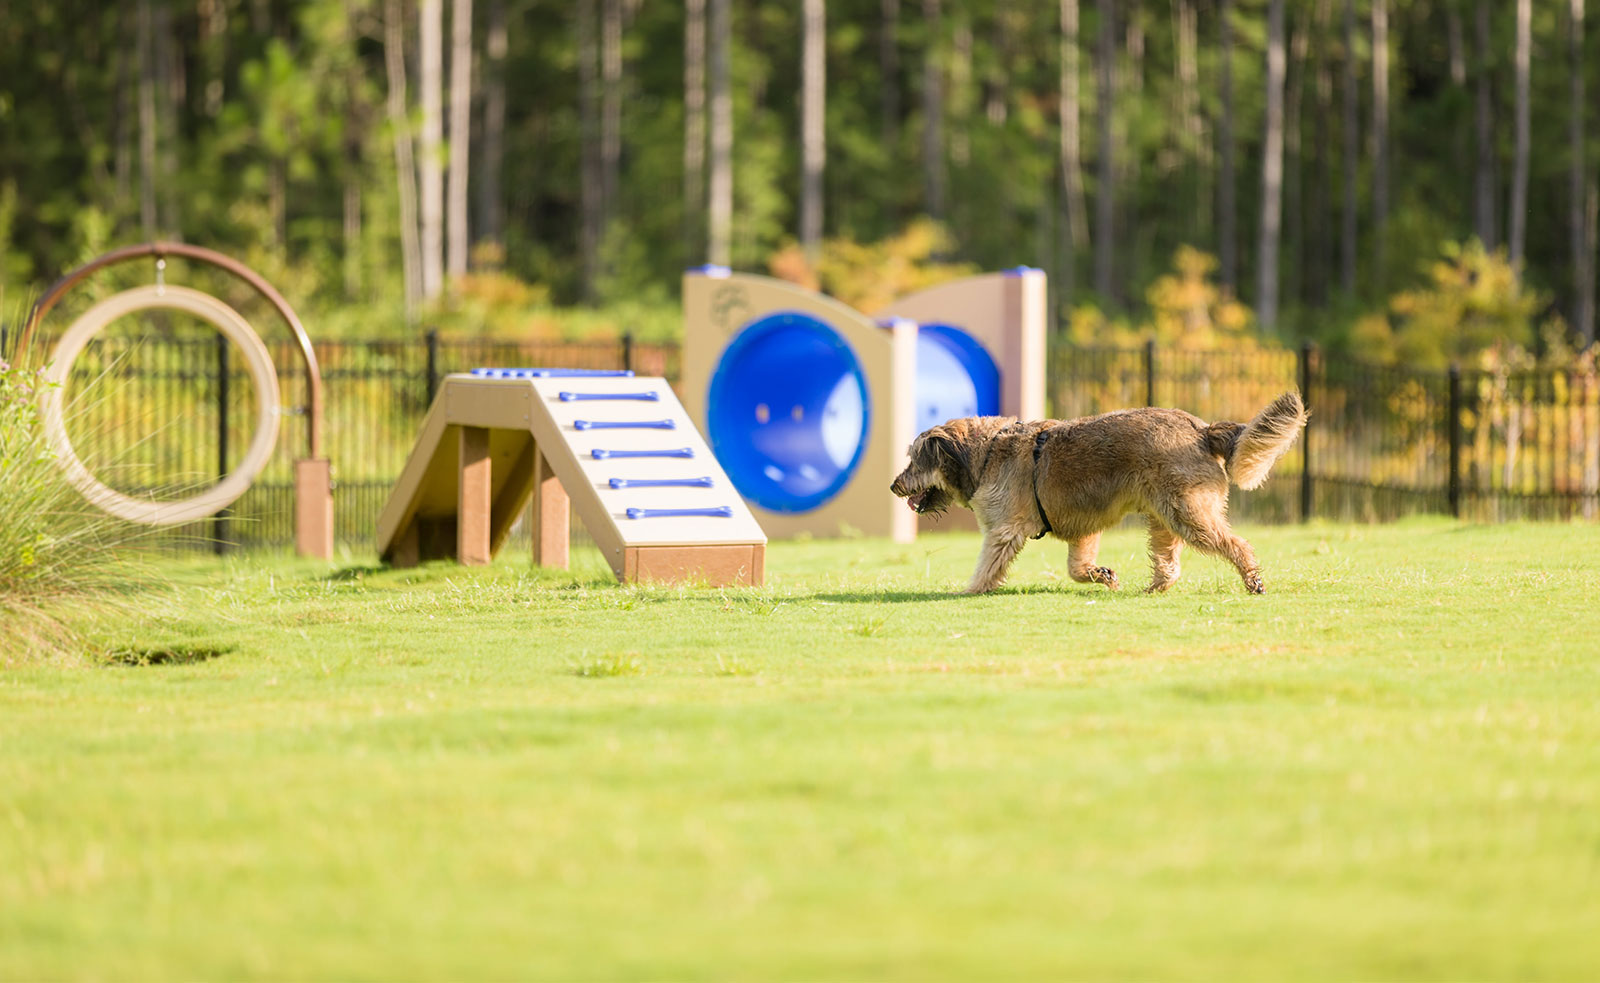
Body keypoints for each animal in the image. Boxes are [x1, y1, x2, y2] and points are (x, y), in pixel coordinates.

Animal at [889, 390, 1312, 592]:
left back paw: (1252, 579)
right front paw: (1102, 575)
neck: (987, 450)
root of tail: (1202, 429)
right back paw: (1155, 587)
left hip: (1190, 514)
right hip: (1164, 517)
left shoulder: (1003, 531)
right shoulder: (1084, 528)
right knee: (1169, 561)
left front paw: (971, 590)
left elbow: (987, 566)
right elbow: (1076, 567)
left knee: (1237, 544)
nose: (894, 485)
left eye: (914, 460)